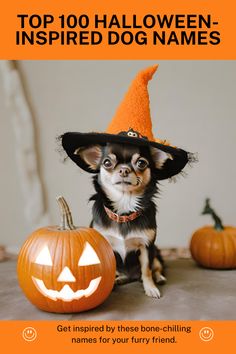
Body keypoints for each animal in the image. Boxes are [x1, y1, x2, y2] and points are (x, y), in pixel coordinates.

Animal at [74, 142, 171, 298]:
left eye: (141, 163)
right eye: (107, 163)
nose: (124, 170)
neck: (125, 210)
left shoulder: (146, 246)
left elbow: (146, 270)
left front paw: (150, 288)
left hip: (156, 254)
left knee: (155, 268)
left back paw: (159, 278)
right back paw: (119, 279)